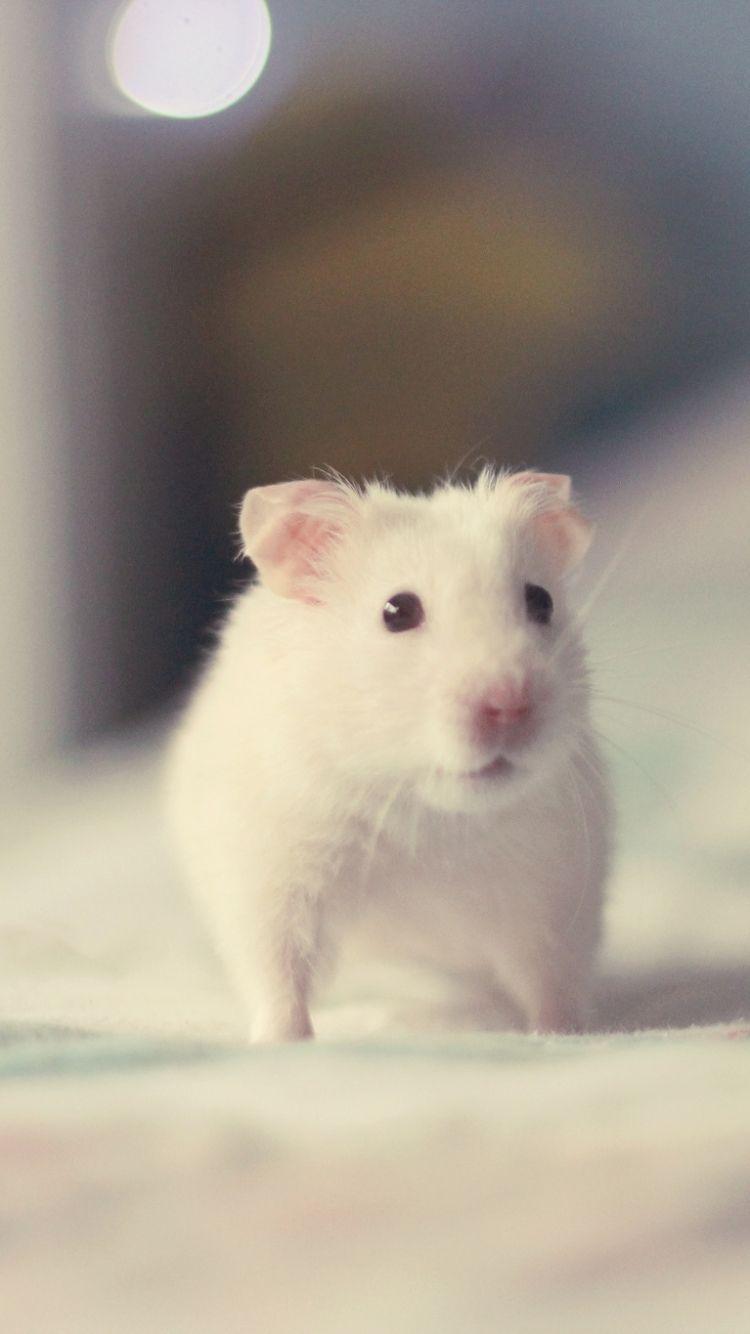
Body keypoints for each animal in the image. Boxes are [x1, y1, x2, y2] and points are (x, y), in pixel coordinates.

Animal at [165, 469, 612, 1042]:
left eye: (541, 601)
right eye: (397, 612)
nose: (509, 705)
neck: (424, 814)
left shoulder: (557, 888)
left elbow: (551, 977)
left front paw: (562, 1035)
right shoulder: (268, 878)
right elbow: (279, 975)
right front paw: (284, 1043)